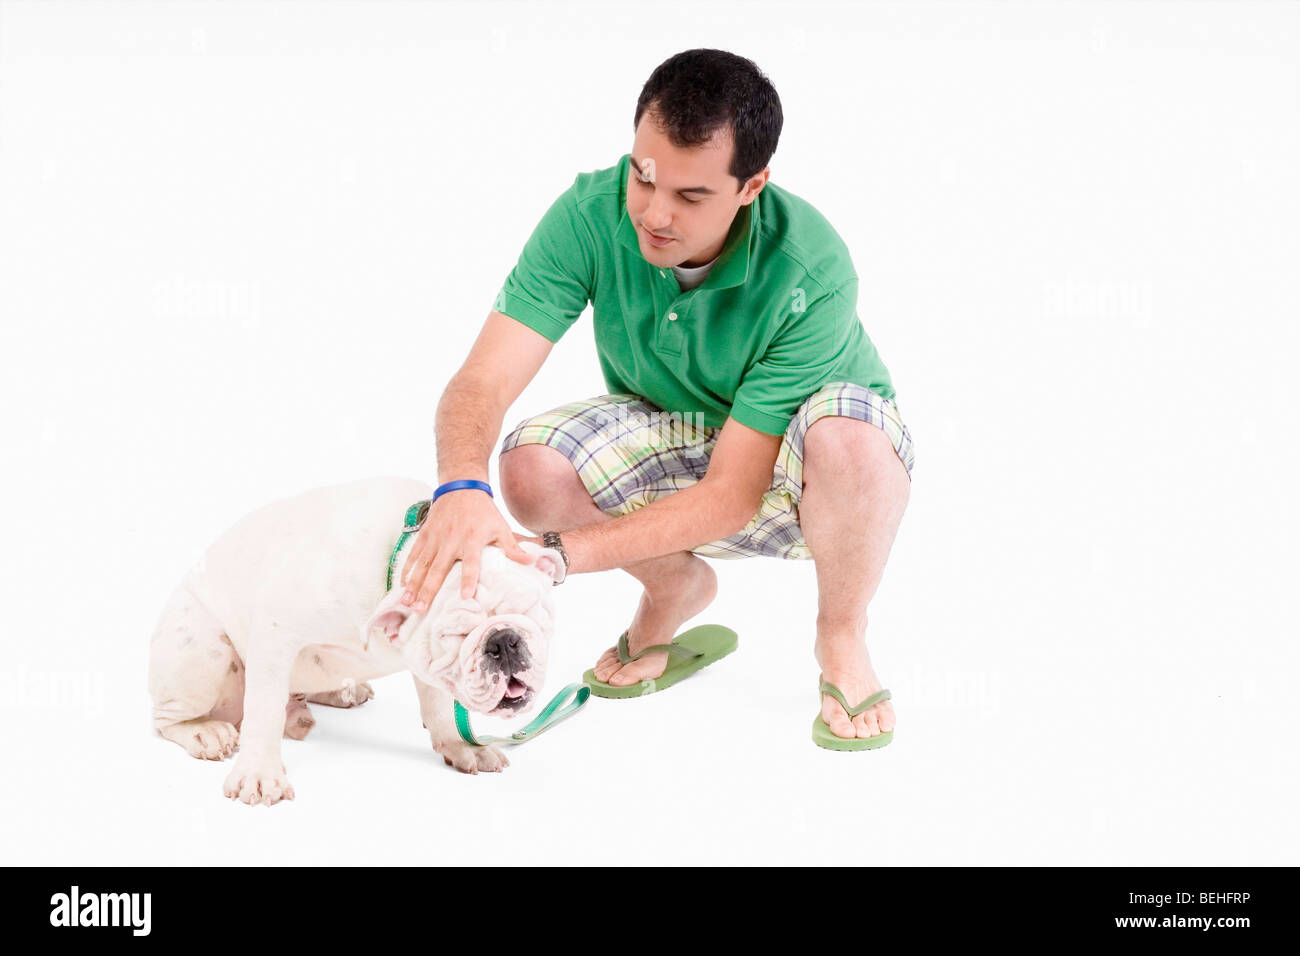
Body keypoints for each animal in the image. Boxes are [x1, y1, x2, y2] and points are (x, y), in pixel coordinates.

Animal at [147, 476, 564, 806]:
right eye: (456, 635)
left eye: (531, 610)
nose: (504, 641)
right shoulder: (276, 629)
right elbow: (263, 713)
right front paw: (259, 773)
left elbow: (440, 708)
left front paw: (461, 747)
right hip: (205, 652)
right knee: (166, 720)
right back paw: (204, 732)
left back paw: (328, 699)